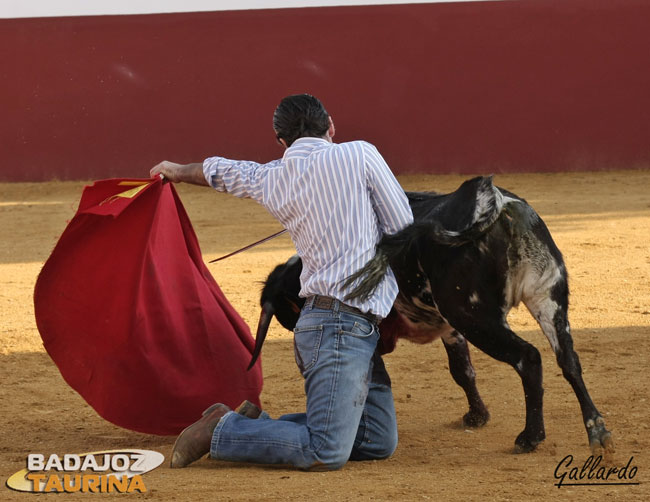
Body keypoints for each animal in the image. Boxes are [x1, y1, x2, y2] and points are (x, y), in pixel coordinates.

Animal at [246, 176, 612, 454]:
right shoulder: (450, 328)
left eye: (290, 312)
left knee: (529, 357)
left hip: (476, 316)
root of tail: (492, 199)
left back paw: (530, 437)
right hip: (547, 299)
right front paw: (477, 416)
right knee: (568, 360)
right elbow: (462, 371)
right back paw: (597, 431)